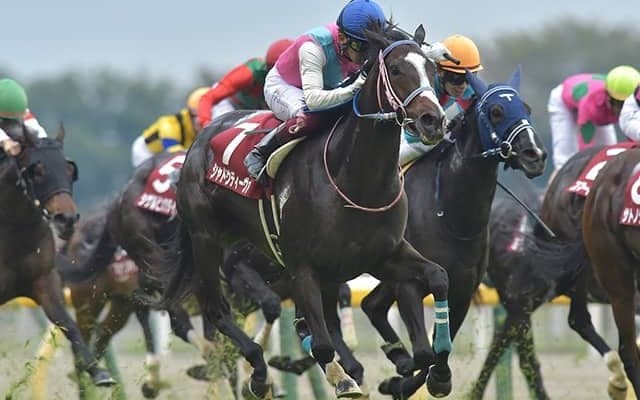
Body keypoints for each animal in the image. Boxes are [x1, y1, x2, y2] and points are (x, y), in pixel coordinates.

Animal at [0, 119, 113, 387]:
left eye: (70, 170)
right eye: (38, 171)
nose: (67, 220)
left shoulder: (44, 280)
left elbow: (67, 323)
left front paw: (99, 372)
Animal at [152, 23, 455, 399]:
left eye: (431, 70)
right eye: (397, 70)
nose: (433, 121)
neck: (356, 178)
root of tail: (198, 142)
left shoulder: (384, 255)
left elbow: (438, 280)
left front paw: (438, 372)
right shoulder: (303, 268)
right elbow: (322, 345)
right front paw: (343, 378)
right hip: (206, 239)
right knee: (217, 310)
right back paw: (258, 373)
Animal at [352, 68, 547, 399]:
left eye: (528, 109)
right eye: (496, 111)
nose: (535, 155)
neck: (451, 214)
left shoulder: (462, 287)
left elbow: (438, 349)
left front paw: (416, 379)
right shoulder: (410, 281)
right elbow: (426, 351)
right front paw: (411, 378)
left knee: (371, 305)